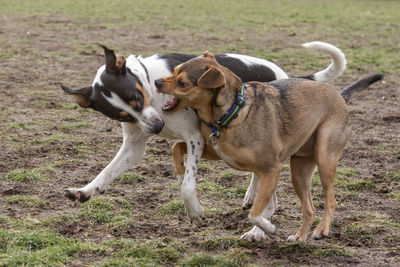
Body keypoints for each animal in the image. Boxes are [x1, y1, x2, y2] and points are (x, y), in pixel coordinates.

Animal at [61, 42, 346, 243]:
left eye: (136, 98)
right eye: (122, 113)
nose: (156, 127)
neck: (151, 86)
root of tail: (282, 73)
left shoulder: (194, 138)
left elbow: (187, 187)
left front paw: (195, 212)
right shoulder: (135, 144)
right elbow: (107, 172)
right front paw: (85, 191)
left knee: (271, 197)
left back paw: (258, 230)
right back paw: (251, 196)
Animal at [155, 52, 382, 243]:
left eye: (182, 82)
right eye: (174, 71)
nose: (157, 81)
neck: (231, 113)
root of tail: (339, 95)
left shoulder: (271, 170)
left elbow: (255, 213)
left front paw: (269, 229)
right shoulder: (216, 151)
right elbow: (176, 147)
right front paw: (180, 174)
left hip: (324, 157)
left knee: (331, 200)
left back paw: (321, 230)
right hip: (299, 172)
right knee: (309, 208)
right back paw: (299, 237)